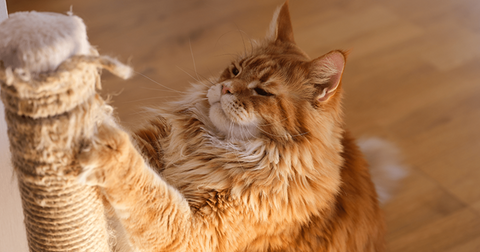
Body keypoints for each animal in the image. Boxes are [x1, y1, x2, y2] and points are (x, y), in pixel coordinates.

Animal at [79, 1, 386, 250]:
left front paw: (107, 142)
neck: (212, 147)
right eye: (235, 70)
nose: (225, 87)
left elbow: (145, 189)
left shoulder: (192, 233)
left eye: (262, 91)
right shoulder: (153, 140)